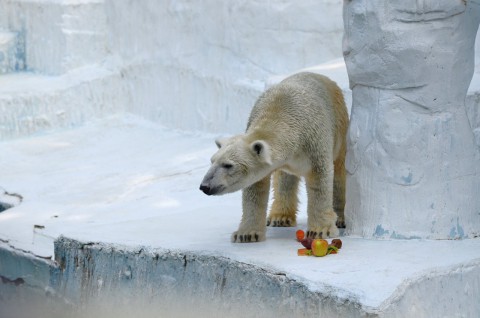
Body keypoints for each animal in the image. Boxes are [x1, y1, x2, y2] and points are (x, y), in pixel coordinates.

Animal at [199, 72, 348, 242]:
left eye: (228, 165)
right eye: (212, 161)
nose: (205, 186)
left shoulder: (315, 140)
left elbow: (320, 180)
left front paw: (320, 230)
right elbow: (255, 189)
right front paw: (246, 234)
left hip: (340, 126)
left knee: (339, 172)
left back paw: (341, 217)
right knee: (285, 179)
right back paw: (280, 217)